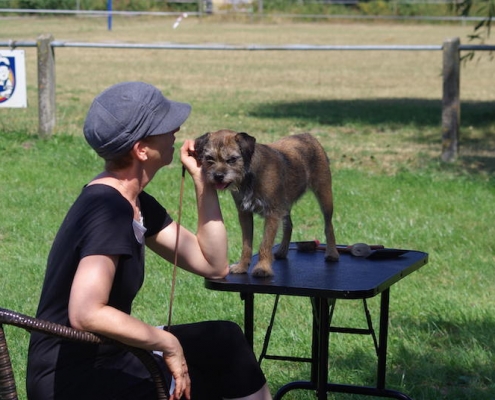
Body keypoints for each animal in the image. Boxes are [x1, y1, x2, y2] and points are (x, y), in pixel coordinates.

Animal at [194, 130, 340, 276]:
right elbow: (246, 244)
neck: (249, 176)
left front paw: (262, 267)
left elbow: (265, 243)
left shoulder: (272, 214)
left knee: (329, 225)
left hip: (325, 195)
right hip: (284, 204)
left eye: (232, 159)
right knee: (289, 225)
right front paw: (242, 266)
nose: (218, 176)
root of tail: (308, 136)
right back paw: (282, 251)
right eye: (209, 158)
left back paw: (332, 253)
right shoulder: (244, 214)